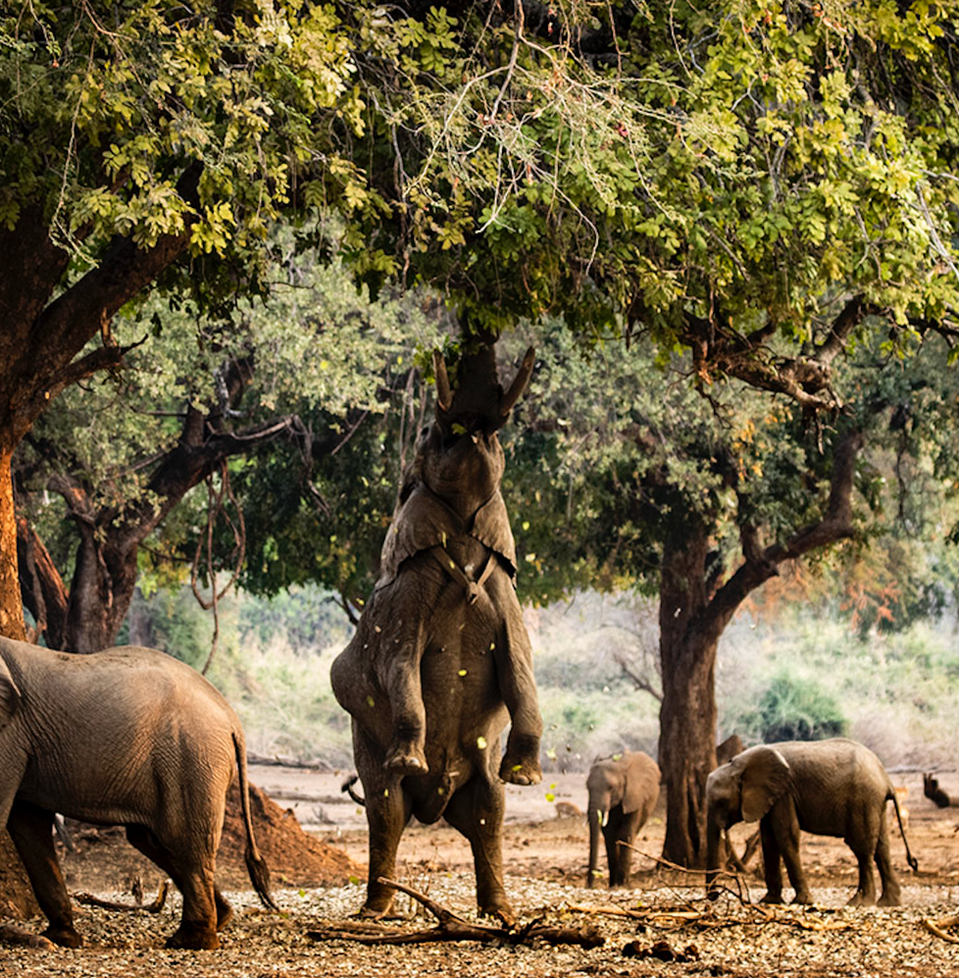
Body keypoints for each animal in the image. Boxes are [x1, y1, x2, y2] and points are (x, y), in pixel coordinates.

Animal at [0, 636, 276, 949]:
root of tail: (233, 720)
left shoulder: (9, 735)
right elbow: (29, 825)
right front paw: (61, 939)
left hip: (193, 758)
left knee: (184, 840)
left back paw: (191, 941)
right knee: (152, 840)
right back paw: (222, 918)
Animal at [331, 343, 543, 921]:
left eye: (495, 439)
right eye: (431, 430)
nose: (470, 425)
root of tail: (435, 808)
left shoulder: (505, 594)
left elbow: (521, 667)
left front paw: (527, 774)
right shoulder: (404, 600)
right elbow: (398, 665)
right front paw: (410, 755)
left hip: (478, 775)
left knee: (490, 811)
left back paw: (501, 914)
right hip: (367, 748)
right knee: (386, 809)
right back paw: (376, 911)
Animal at [586, 750, 660, 888]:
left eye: (611, 787)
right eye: (587, 788)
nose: (589, 886)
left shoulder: (635, 796)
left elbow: (626, 834)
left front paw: (621, 886)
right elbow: (609, 835)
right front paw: (613, 885)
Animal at [705, 738, 917, 906]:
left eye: (721, 802)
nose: (714, 896)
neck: (740, 764)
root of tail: (886, 780)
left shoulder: (784, 794)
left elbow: (786, 836)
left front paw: (802, 902)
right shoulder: (772, 797)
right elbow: (769, 840)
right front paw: (769, 901)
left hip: (863, 800)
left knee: (862, 849)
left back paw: (860, 902)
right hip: (875, 804)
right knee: (882, 848)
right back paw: (888, 903)